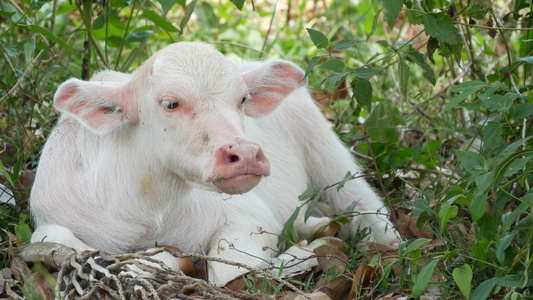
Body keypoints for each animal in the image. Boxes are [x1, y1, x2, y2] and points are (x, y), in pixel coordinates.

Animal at [28, 41, 394, 284]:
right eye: (170, 103)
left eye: (242, 99)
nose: (245, 153)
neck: (148, 212)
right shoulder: (53, 217)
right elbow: (51, 236)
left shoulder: (249, 217)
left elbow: (225, 272)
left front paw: (300, 255)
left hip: (326, 150)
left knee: (365, 206)